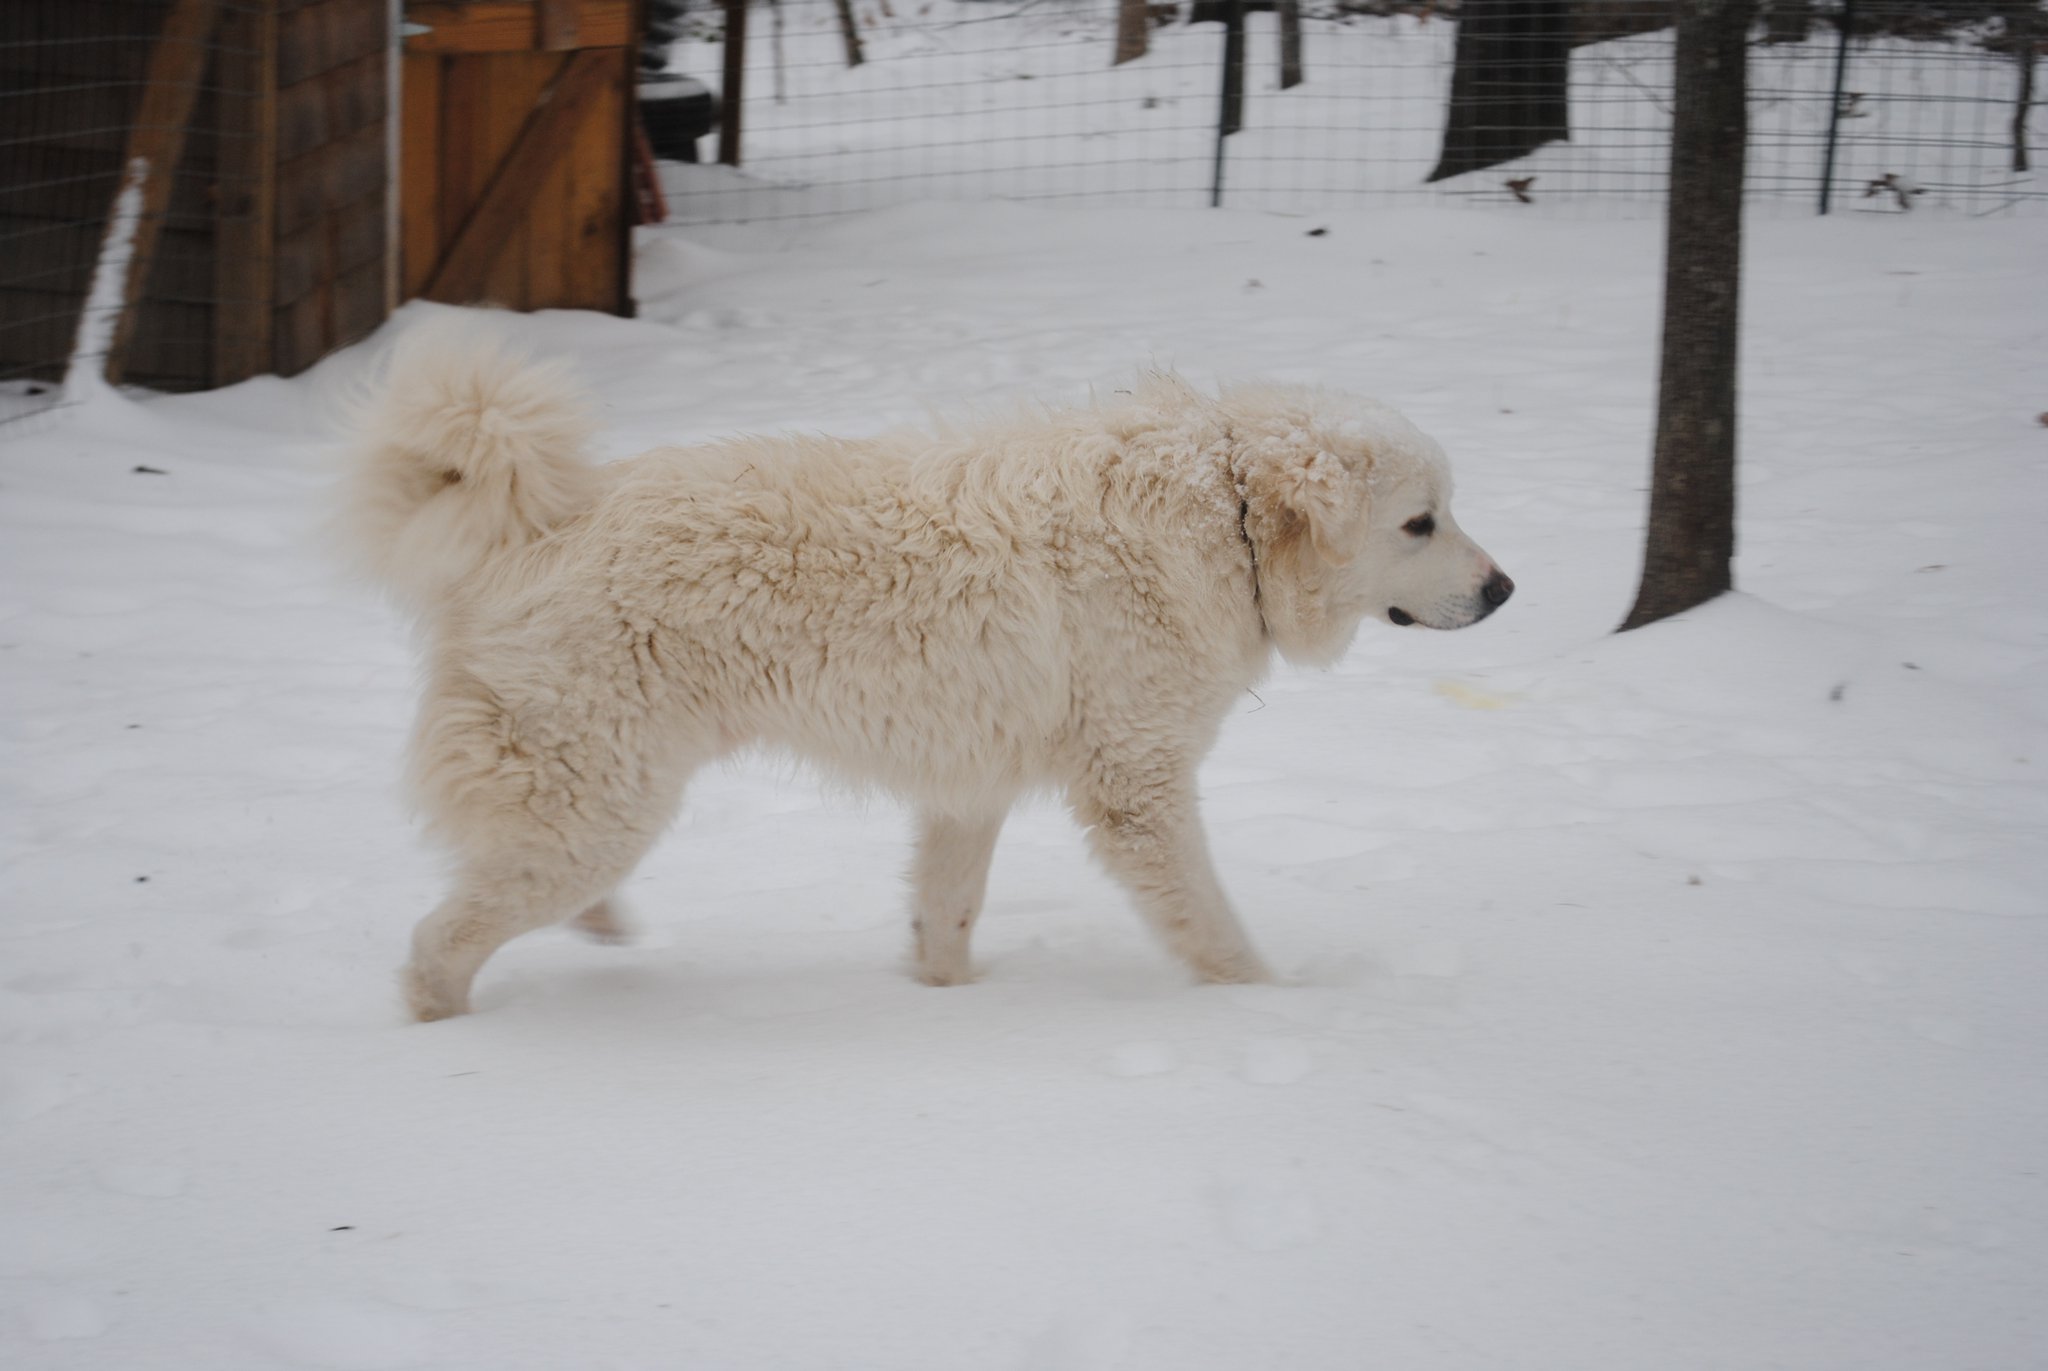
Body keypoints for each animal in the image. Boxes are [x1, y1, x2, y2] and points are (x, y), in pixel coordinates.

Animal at [344, 321, 1515, 1016]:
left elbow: (947, 910)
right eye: (1420, 521)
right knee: (438, 939)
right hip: (595, 806)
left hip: (589, 803)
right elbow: (1212, 925)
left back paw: (600, 932)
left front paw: (945, 1004)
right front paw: (1272, 1006)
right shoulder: (1137, 790)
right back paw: (445, 1025)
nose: (1506, 590)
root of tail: (536, 526)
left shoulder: (970, 783)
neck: (1217, 518)